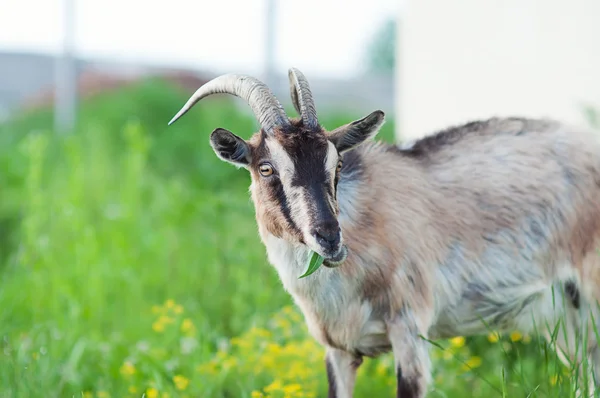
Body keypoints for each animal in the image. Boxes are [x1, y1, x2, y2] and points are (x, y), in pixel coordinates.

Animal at [168, 69, 600, 398]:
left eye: (338, 164)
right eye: (265, 168)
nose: (329, 238)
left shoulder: (409, 329)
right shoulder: (338, 347)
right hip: (571, 317)